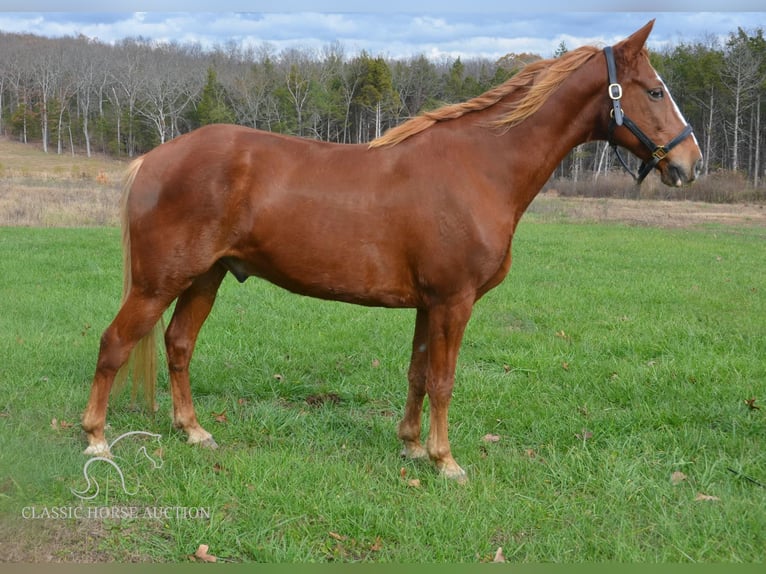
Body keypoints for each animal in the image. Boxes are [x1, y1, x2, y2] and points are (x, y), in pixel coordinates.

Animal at [82, 21, 704, 482]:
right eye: (654, 91)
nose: (690, 163)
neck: (480, 168)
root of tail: (156, 157)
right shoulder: (454, 301)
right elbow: (444, 380)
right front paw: (446, 461)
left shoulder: (430, 304)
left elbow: (417, 372)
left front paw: (410, 446)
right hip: (158, 282)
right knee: (114, 343)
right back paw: (96, 440)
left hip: (205, 278)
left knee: (178, 344)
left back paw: (194, 431)